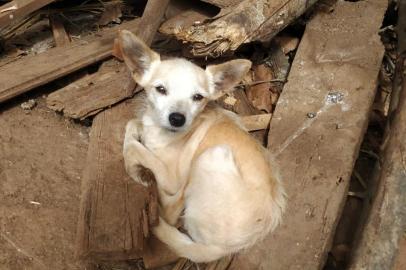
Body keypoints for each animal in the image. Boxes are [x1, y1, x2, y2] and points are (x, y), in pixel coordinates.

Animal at [119, 30, 288, 262]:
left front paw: (135, 170)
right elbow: (131, 125)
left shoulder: (171, 178)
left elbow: (135, 148)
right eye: (160, 89)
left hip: (210, 156)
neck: (161, 131)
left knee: (171, 211)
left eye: (198, 97)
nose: (177, 119)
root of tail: (223, 249)